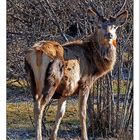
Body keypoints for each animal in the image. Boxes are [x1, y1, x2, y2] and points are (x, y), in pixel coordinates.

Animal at [24, 2, 128, 140]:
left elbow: (60, 113)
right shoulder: (85, 82)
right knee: (39, 107)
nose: (109, 35)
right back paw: (39, 136)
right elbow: (82, 112)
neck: (95, 63)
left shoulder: (65, 90)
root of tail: (38, 52)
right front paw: (85, 136)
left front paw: (53, 137)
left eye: (115, 27)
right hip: (51, 80)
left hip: (33, 80)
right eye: (99, 26)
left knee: (35, 104)